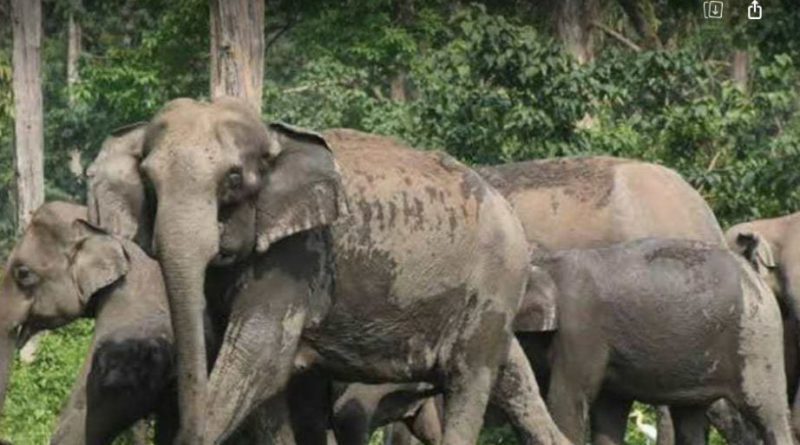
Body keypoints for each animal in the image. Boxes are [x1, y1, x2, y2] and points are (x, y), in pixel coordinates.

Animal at [86, 97, 564, 444]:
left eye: (234, 179)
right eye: (148, 180)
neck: (274, 134)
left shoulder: (297, 255)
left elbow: (257, 360)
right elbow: (265, 379)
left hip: (495, 280)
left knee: (470, 378)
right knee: (513, 377)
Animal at [536, 238, 792, 442]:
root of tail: (756, 278)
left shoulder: (579, 327)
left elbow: (567, 400)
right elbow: (608, 407)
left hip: (757, 340)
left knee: (768, 414)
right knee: (690, 417)